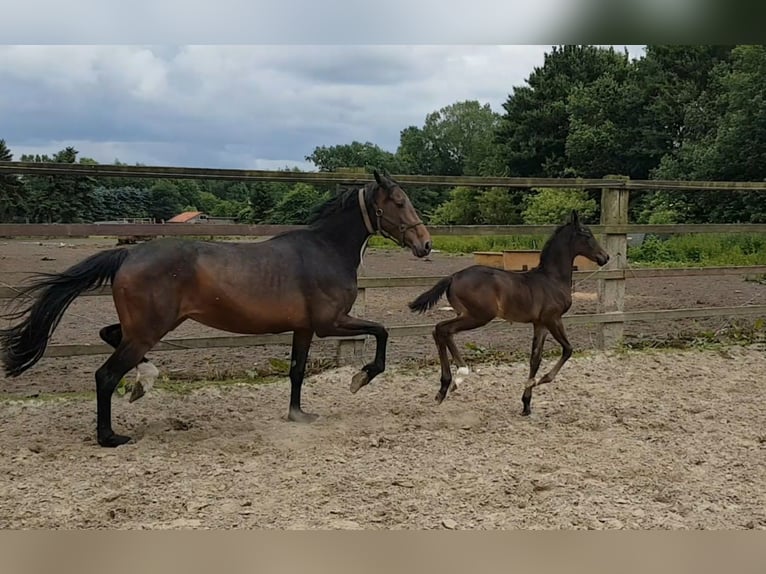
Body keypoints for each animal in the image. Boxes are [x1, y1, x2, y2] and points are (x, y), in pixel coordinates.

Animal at [412, 209, 608, 416]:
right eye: (587, 234)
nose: (605, 257)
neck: (551, 279)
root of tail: (453, 276)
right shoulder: (553, 319)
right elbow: (568, 349)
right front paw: (539, 381)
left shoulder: (540, 323)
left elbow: (535, 359)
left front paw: (526, 404)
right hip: (478, 316)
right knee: (442, 329)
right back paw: (459, 376)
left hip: (466, 314)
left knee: (439, 331)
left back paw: (446, 387)